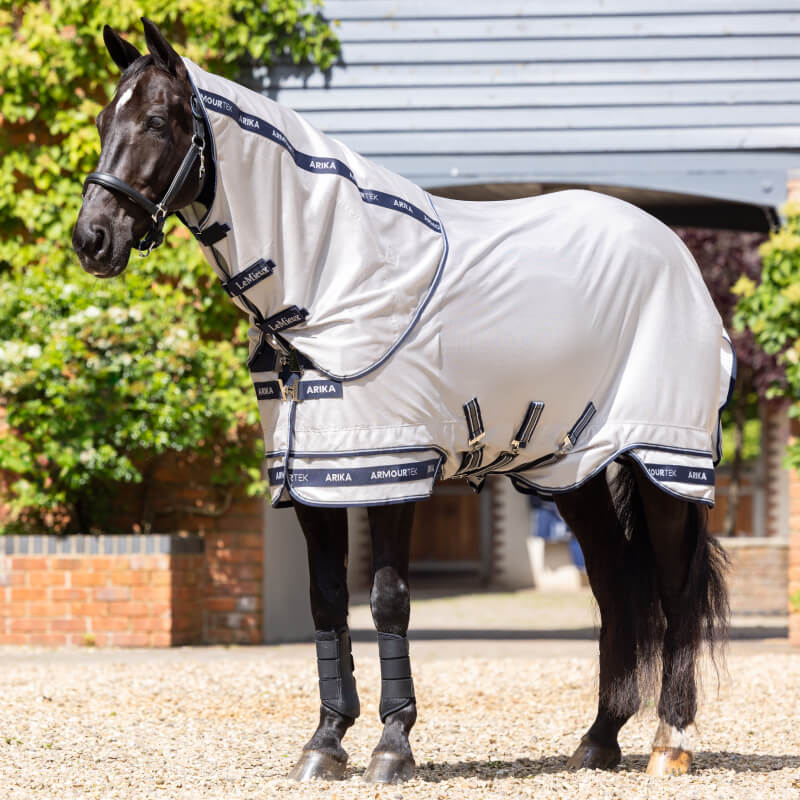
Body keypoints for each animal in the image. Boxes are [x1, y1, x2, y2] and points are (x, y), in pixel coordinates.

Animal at [73, 19, 729, 784]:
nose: (92, 239)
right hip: (575, 473)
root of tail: (672, 250)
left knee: (676, 588)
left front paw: (393, 746)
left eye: (155, 121)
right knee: (616, 585)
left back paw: (670, 742)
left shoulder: (393, 469)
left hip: (667, 462)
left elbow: (388, 602)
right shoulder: (314, 477)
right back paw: (598, 739)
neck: (334, 276)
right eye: (101, 120)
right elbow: (328, 601)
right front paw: (326, 742)